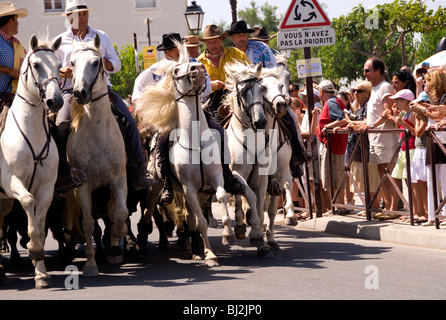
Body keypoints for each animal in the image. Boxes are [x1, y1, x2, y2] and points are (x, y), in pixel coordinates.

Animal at [67, 34, 128, 276]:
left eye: (95, 62)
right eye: (72, 63)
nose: (79, 93)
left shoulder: (119, 180)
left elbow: (119, 213)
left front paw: (117, 240)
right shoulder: (83, 188)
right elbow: (88, 224)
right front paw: (91, 265)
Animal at [138, 42, 228, 268]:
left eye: (193, 63)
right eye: (177, 71)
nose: (198, 70)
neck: (196, 142)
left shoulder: (215, 180)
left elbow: (221, 198)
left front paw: (227, 235)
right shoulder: (189, 188)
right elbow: (202, 222)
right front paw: (210, 255)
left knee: (188, 217)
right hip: (156, 187)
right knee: (148, 212)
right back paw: (142, 241)